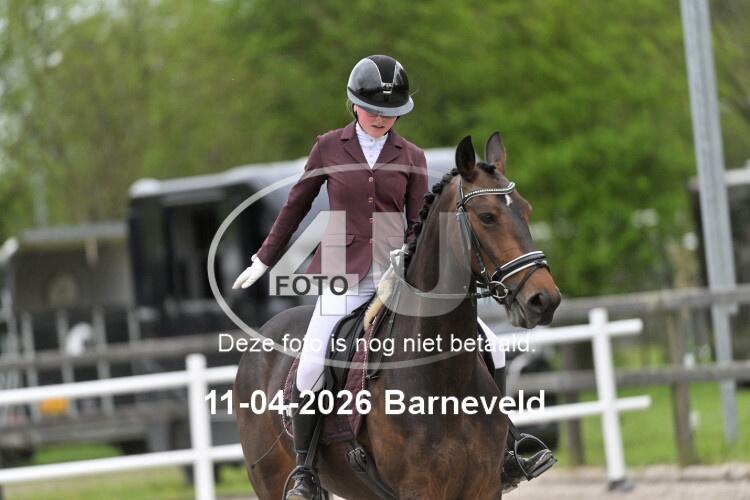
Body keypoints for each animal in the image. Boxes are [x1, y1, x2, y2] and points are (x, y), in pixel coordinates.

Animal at [234, 132, 561, 499]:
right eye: (487, 216)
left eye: (526, 210)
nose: (544, 300)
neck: (444, 381)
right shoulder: (419, 489)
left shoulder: (484, 486)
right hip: (271, 480)